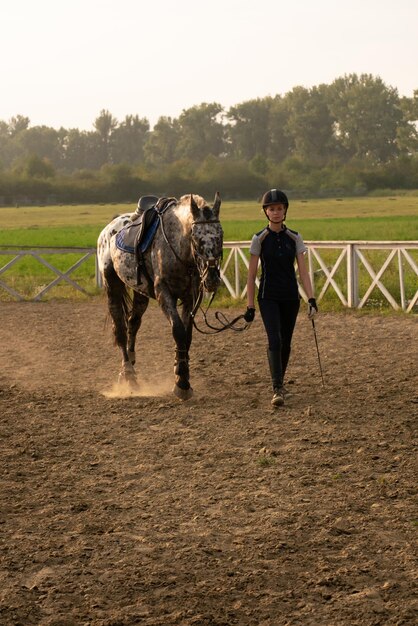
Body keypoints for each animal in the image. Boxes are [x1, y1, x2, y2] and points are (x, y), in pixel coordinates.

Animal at [96, 191, 224, 400]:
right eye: (196, 238)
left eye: (220, 236)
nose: (212, 278)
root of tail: (109, 228)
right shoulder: (164, 294)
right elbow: (178, 331)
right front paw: (181, 383)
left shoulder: (191, 298)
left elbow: (187, 336)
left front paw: (181, 370)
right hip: (112, 285)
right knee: (121, 330)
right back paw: (129, 374)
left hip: (140, 292)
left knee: (133, 324)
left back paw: (129, 367)